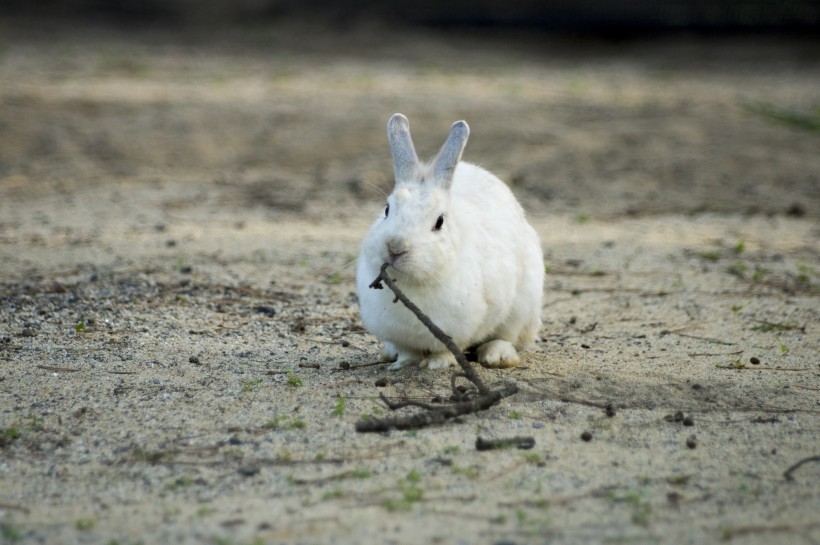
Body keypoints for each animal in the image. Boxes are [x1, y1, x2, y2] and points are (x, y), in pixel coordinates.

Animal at [354, 114, 540, 370]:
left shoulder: (460, 328)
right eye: (387, 209)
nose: (395, 248)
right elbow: (407, 351)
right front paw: (404, 363)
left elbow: (449, 348)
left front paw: (437, 364)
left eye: (439, 222)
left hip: (523, 305)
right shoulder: (399, 334)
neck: (412, 283)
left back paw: (497, 356)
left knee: (508, 336)